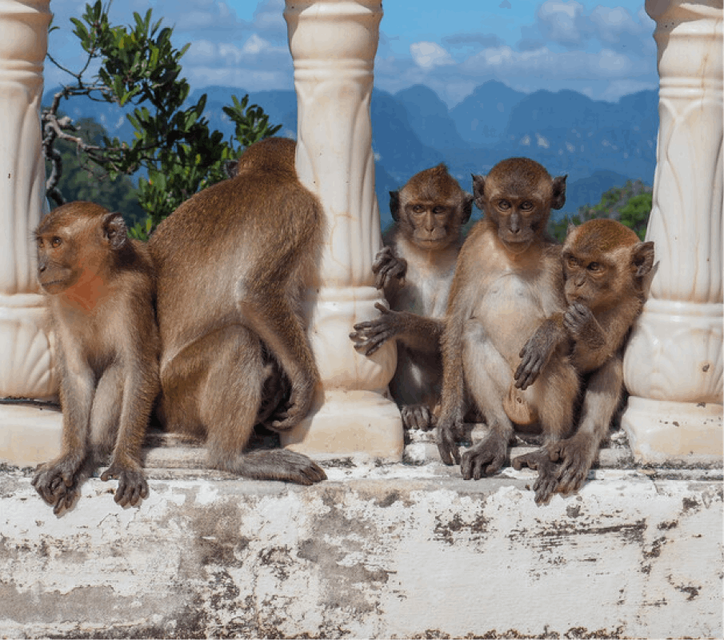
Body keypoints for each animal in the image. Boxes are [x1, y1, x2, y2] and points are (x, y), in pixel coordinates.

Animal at [31, 202, 159, 514]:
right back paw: (82, 461)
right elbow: (76, 375)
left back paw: (96, 453)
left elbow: (140, 370)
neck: (92, 283)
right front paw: (70, 457)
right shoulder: (59, 300)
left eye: (56, 242)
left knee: (119, 369)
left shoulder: (132, 294)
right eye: (41, 243)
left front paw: (125, 460)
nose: (40, 267)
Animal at [147, 137, 326, 485]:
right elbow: (257, 294)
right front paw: (303, 382)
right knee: (237, 339)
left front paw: (281, 381)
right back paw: (232, 459)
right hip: (180, 395)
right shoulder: (299, 210)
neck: (266, 174)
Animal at [350, 164, 473, 430]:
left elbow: (451, 327)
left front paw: (399, 322)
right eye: (418, 209)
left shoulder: (468, 259)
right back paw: (414, 407)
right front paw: (395, 267)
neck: (428, 254)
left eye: (438, 210)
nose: (429, 227)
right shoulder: (388, 240)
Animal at [436, 157, 579, 482]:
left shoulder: (554, 263)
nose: (514, 228)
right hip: (509, 393)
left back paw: (549, 446)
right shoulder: (472, 250)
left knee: (549, 360)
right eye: (503, 204)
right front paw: (449, 416)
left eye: (526, 206)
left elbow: (567, 332)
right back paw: (497, 434)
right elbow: (457, 324)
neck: (511, 254)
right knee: (473, 332)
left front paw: (546, 336)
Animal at [512, 218, 655, 503]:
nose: (576, 282)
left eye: (594, 267)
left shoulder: (626, 309)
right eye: (573, 261)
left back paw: (582, 441)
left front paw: (576, 329)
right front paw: (554, 328)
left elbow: (593, 360)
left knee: (612, 364)